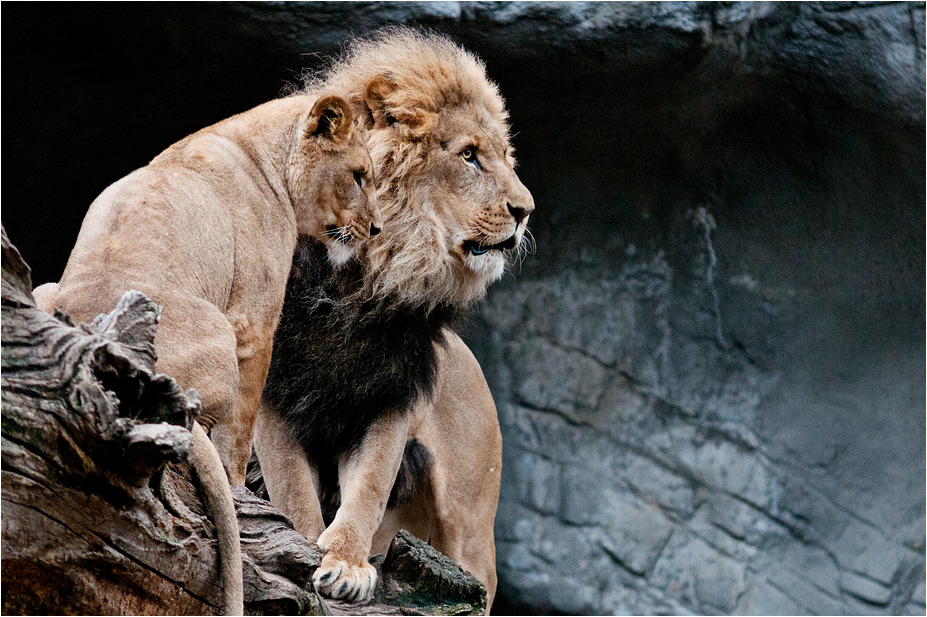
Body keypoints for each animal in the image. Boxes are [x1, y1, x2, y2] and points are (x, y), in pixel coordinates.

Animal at [31, 92, 381, 615]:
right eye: (358, 175)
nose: (376, 228)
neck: (265, 155)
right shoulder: (254, 325)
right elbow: (240, 433)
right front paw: (240, 488)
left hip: (44, 289)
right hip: (218, 334)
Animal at [250, 28, 534, 613]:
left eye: (502, 155)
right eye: (469, 156)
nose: (526, 211)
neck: (357, 282)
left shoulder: (388, 395)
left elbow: (368, 487)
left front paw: (346, 563)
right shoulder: (274, 393)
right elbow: (291, 490)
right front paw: (304, 552)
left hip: (472, 525)